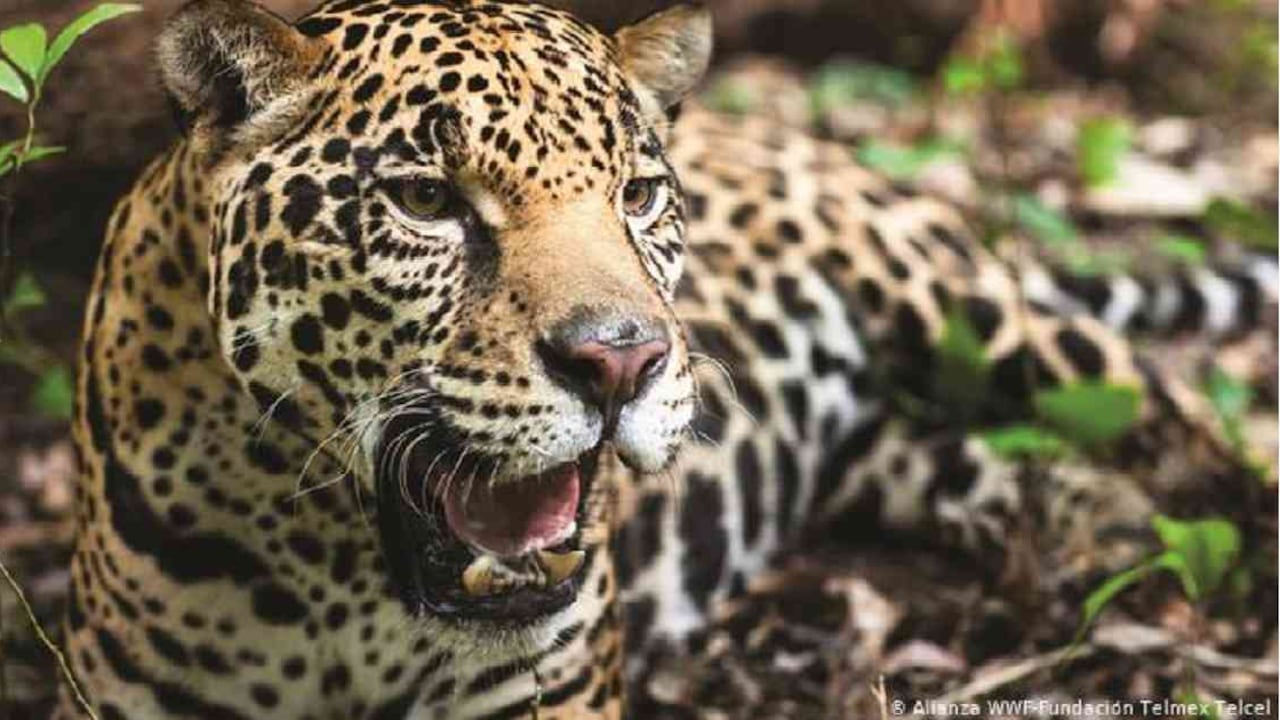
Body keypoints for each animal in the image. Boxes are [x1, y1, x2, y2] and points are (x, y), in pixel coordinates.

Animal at [58, 0, 1276, 718]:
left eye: (636, 195)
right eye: (426, 202)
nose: (619, 362)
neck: (338, 586)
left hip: (983, 316)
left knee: (1177, 421)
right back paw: (1088, 523)